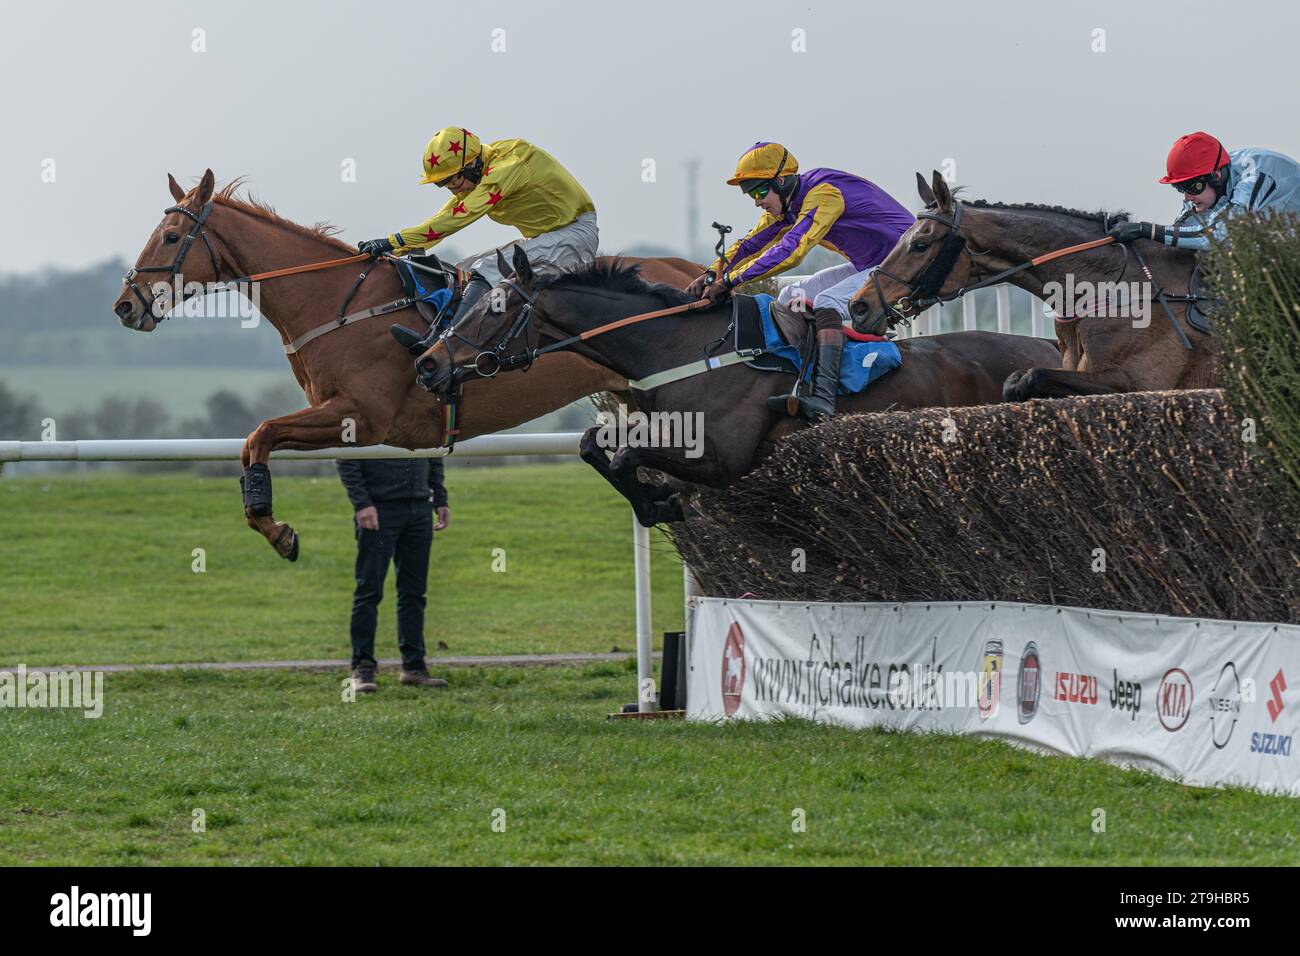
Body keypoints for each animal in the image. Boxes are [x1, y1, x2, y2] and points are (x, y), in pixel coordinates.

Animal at [111, 170, 702, 561]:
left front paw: (278, 531)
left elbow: (260, 434)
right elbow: (254, 442)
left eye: (169, 237)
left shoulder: (363, 418)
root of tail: (692, 271)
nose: (125, 306)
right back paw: (662, 499)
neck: (336, 301)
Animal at [421, 247, 1060, 528]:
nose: (427, 364)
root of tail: (1051, 349)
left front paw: (657, 503)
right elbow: (589, 446)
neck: (681, 350)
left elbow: (625, 454)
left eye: (493, 308)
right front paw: (653, 502)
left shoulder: (724, 457)